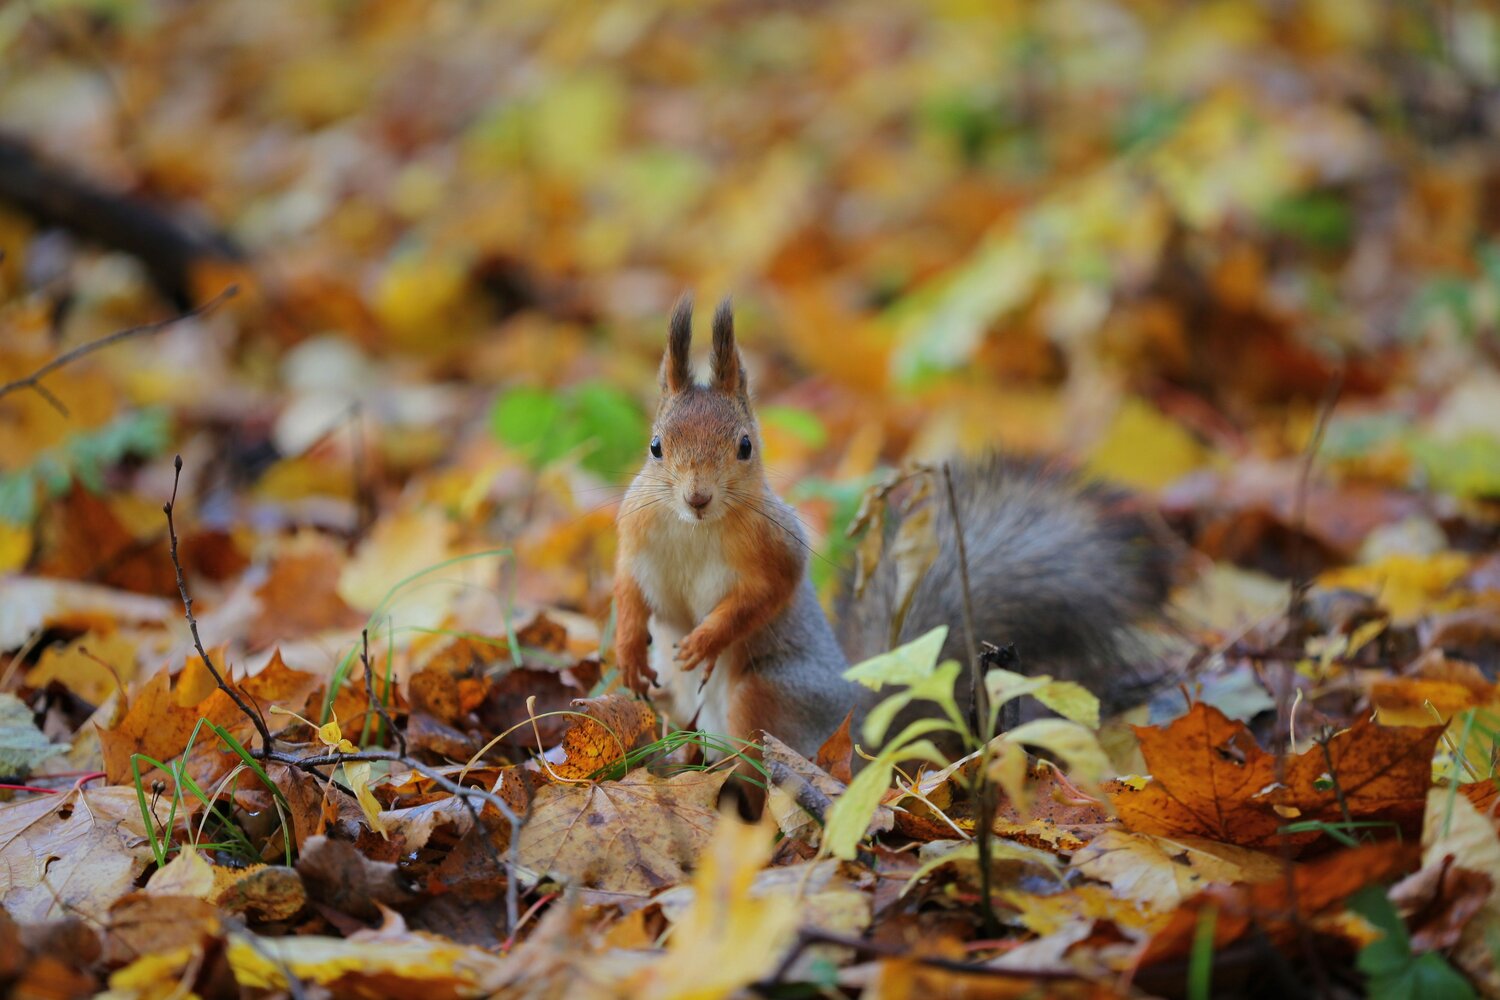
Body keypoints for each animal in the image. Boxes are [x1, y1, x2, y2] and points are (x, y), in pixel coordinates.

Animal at [613, 296, 1172, 761]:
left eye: (745, 446)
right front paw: (628, 648)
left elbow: (762, 595)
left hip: (769, 692)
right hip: (678, 703)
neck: (695, 528)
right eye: (656, 446)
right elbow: (627, 589)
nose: (697, 497)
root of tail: (853, 724)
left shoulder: (777, 549)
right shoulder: (634, 535)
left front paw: (705, 640)